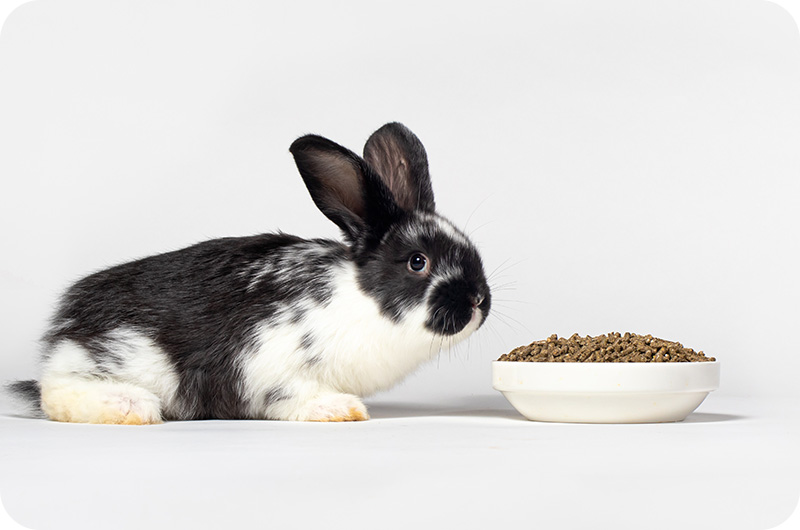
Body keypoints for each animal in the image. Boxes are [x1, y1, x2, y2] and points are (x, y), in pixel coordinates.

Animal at [6, 122, 491, 424]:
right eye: (418, 262)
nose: (477, 301)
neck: (360, 300)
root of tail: (63, 332)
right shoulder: (270, 363)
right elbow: (292, 394)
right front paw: (338, 409)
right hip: (121, 359)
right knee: (57, 393)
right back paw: (130, 408)